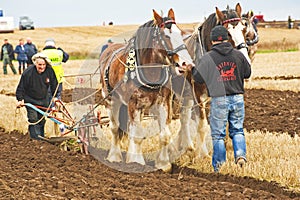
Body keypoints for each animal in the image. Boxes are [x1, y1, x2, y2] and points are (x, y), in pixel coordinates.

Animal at [99, 9, 193, 172]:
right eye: (166, 36)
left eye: (180, 33)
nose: (186, 64)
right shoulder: (133, 104)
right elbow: (136, 135)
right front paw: (136, 162)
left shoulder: (162, 104)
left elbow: (164, 135)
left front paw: (163, 164)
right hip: (112, 101)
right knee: (115, 128)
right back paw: (114, 156)